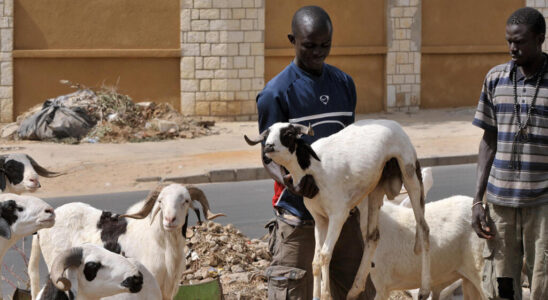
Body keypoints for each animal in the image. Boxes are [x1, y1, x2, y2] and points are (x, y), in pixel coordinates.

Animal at [245, 120, 432, 300]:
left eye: (289, 133)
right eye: (266, 135)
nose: (269, 147)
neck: (314, 167)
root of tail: (395, 125)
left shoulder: (338, 214)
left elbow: (325, 254)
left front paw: (326, 295)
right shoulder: (319, 219)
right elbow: (315, 261)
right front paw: (316, 296)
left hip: (410, 174)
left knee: (423, 228)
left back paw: (424, 290)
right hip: (376, 186)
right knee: (373, 236)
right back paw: (355, 289)